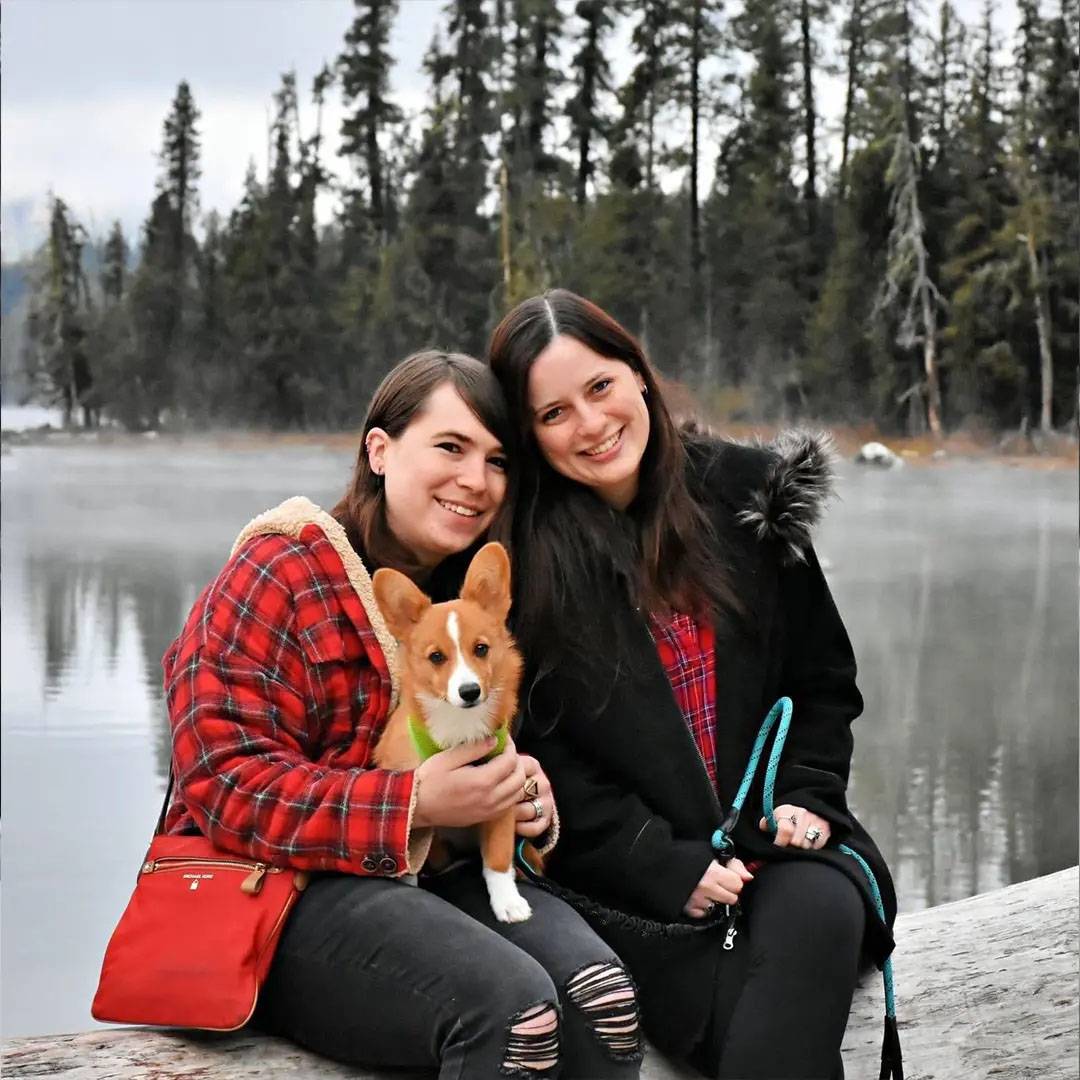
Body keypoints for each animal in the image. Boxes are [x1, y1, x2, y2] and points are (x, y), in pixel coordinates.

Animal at [373, 544, 533, 924]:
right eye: (436, 657)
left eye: (481, 649)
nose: (470, 691)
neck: (460, 727)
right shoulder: (414, 806)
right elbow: (408, 861)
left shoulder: (503, 797)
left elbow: (498, 859)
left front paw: (508, 901)